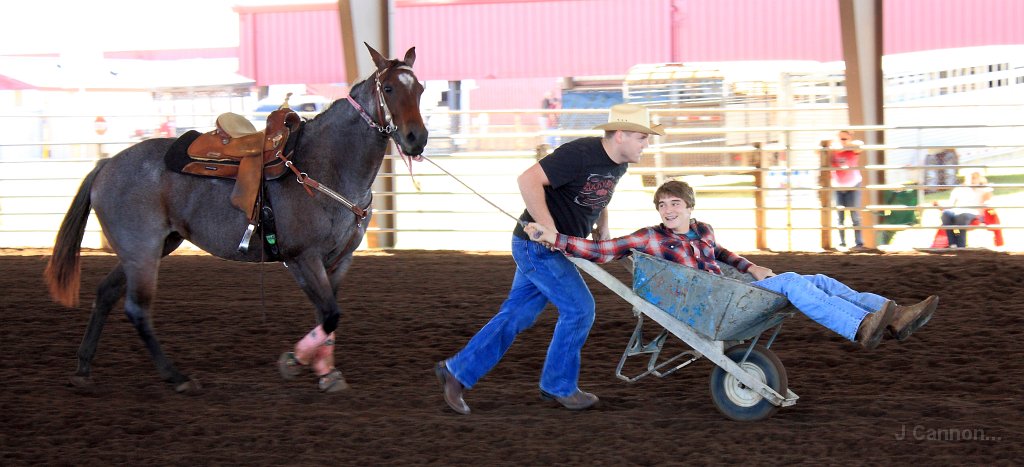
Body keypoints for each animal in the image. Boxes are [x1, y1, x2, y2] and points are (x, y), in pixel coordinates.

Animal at [43, 44, 427, 394]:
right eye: (388, 88)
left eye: (420, 89)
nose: (417, 138)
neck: (325, 165)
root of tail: (106, 164)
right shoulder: (302, 258)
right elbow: (330, 315)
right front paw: (294, 361)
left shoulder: (340, 260)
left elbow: (326, 317)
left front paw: (326, 371)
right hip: (142, 251)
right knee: (137, 309)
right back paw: (177, 377)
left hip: (151, 247)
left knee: (106, 293)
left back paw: (83, 369)